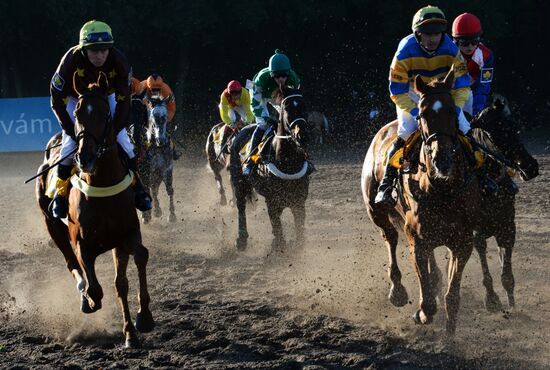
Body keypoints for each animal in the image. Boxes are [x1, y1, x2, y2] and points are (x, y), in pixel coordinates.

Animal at [35, 71, 154, 346]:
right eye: (78, 113)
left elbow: (136, 263)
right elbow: (95, 287)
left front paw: (142, 320)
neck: (102, 184)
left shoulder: (126, 235)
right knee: (72, 264)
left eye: (104, 114)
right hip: (51, 224)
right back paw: (84, 297)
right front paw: (89, 300)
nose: (85, 157)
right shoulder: (82, 243)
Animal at [230, 85, 312, 250]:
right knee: (241, 206)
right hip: (238, 182)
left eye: (304, 106)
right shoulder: (272, 201)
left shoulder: (299, 202)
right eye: (287, 108)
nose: (303, 136)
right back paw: (241, 239)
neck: (287, 162)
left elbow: (299, 233)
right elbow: (278, 231)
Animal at [362, 71, 484, 334]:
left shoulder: (462, 242)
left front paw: (450, 336)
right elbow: (427, 300)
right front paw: (422, 314)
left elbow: (452, 297)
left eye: (452, 111)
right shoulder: (416, 241)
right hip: (376, 211)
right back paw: (397, 291)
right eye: (423, 114)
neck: (441, 189)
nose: (442, 160)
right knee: (390, 238)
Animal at [468, 99, 540, 310]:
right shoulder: (476, 233)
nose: (530, 167)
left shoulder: (508, 227)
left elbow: (507, 275)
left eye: (513, 127)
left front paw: (512, 305)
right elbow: (485, 267)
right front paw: (491, 299)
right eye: (493, 135)